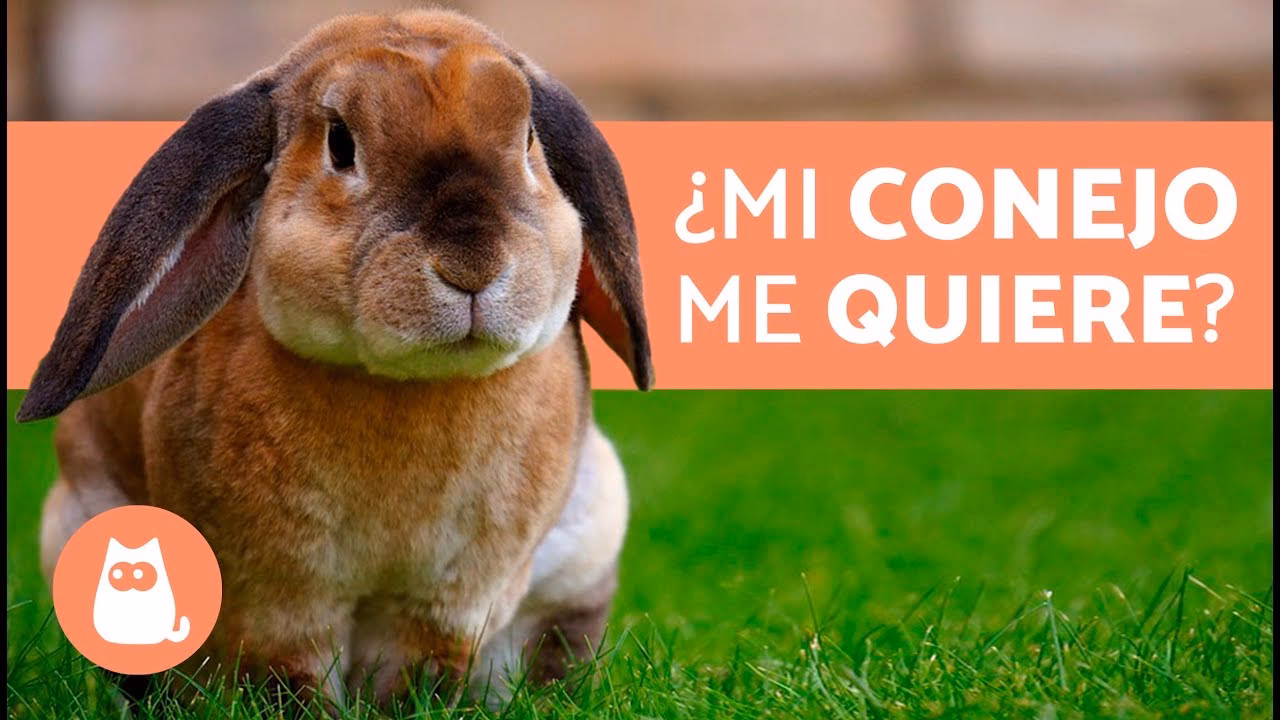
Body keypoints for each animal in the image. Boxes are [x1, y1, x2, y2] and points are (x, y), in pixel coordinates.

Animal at [18, 9, 651, 708]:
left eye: (529, 138)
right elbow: (290, 674)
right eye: (341, 145)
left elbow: (419, 671)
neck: (408, 386)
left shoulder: (448, 602)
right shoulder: (278, 600)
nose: (472, 265)